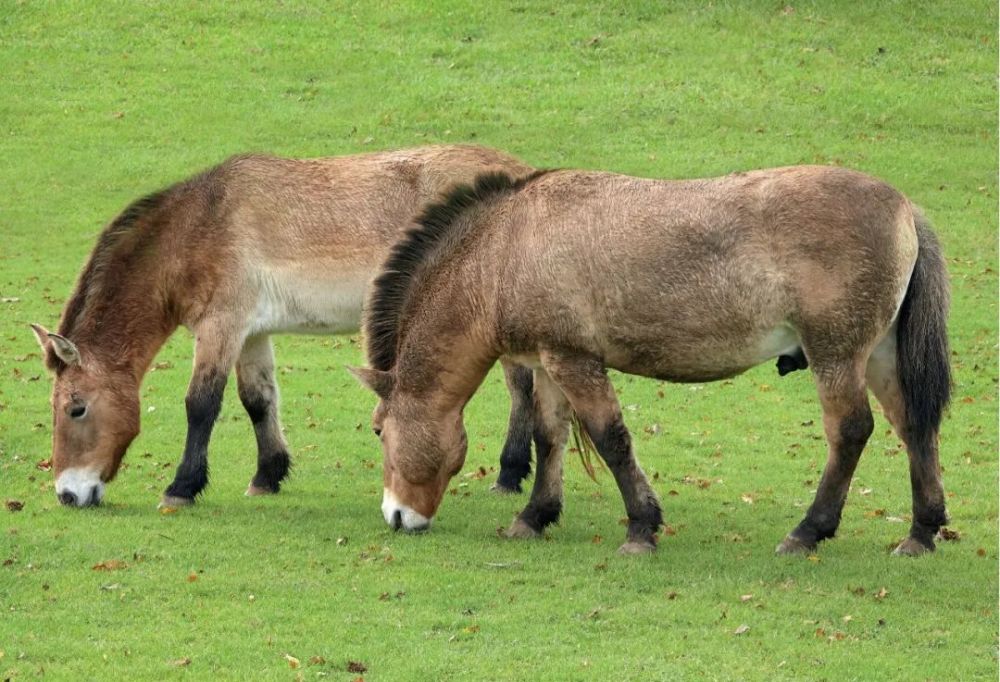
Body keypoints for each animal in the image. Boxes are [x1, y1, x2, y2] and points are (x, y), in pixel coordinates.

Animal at [33, 146, 540, 508]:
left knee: (522, 388)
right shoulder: (251, 334)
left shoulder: (221, 326)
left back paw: (509, 474)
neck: (199, 227)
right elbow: (257, 401)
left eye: (76, 408)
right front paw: (267, 475)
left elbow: (201, 404)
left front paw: (182, 487)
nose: (68, 494)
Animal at [354, 167, 952, 556]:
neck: (506, 249)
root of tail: (904, 208)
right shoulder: (547, 364)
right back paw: (921, 533)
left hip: (837, 356)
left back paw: (808, 531)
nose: (396, 516)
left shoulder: (575, 362)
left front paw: (641, 528)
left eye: (379, 429)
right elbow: (550, 438)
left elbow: (611, 440)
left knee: (850, 432)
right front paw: (535, 516)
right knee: (914, 428)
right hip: (878, 355)